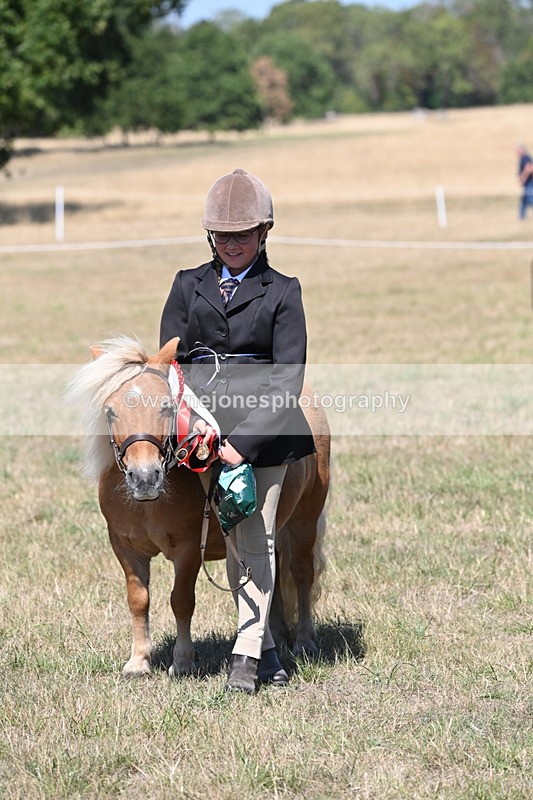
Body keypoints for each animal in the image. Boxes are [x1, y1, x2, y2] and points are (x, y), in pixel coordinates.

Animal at [68, 336, 330, 679]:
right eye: (110, 412)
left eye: (166, 407)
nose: (144, 478)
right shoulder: (124, 547)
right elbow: (138, 600)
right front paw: (138, 662)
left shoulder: (189, 549)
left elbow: (181, 601)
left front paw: (182, 661)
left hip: (304, 520)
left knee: (301, 573)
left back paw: (304, 641)